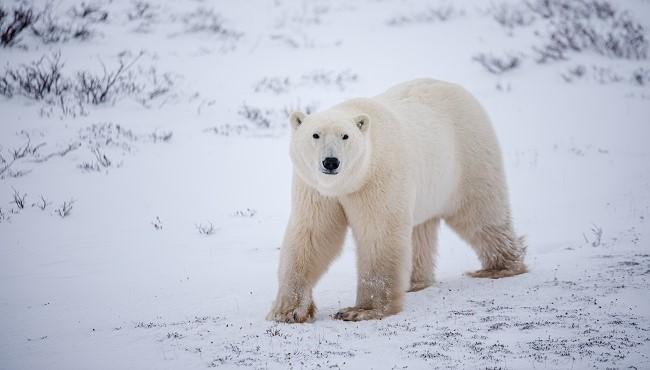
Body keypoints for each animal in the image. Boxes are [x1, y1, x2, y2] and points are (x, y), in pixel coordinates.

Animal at [266, 79, 524, 324]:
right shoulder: (315, 189)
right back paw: (415, 282)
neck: (350, 182)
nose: (331, 162)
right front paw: (287, 311)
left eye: (345, 136)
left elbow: (379, 234)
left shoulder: (379, 177)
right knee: (420, 230)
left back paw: (500, 267)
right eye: (315, 134)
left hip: (468, 157)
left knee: (482, 212)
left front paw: (361, 311)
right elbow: (312, 234)